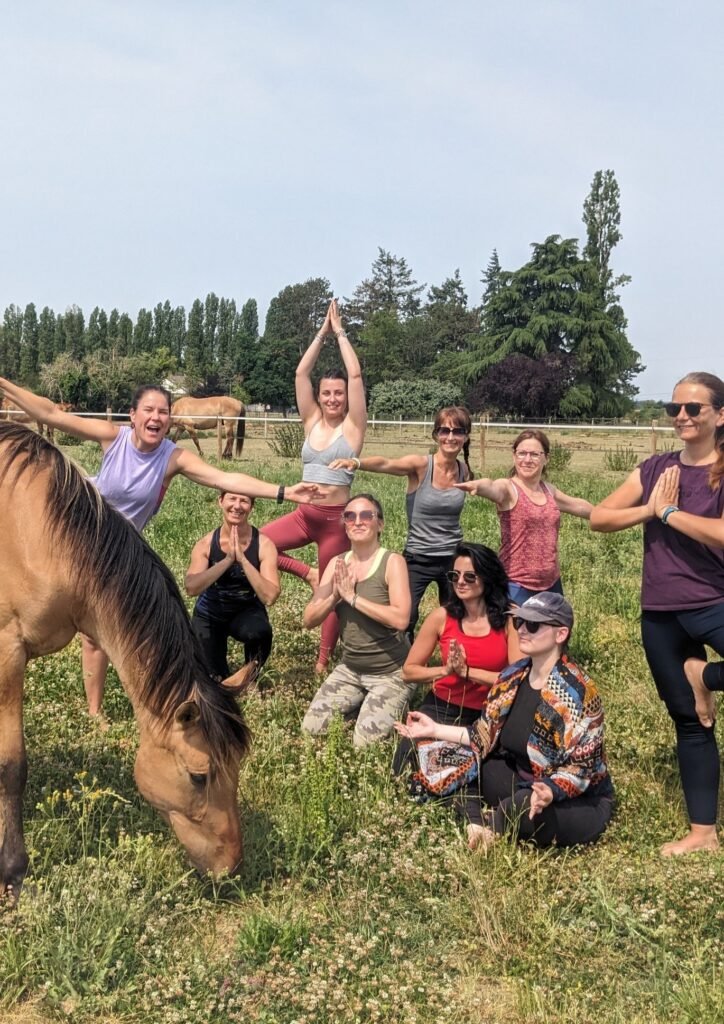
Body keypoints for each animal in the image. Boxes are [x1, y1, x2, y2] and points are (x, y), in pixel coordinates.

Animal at [0, 421, 254, 897]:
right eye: (199, 776)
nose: (230, 868)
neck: (36, 533)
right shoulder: (8, 653)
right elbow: (12, 766)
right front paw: (13, 869)